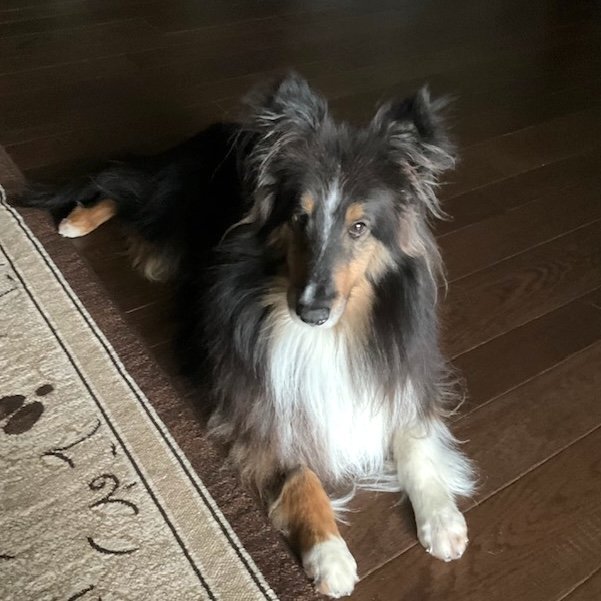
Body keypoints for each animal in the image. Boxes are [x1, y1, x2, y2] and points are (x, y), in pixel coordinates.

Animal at [21, 73, 475, 598]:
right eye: (299, 218)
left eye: (360, 227)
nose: (310, 311)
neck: (331, 334)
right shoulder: (261, 402)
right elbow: (301, 475)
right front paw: (329, 555)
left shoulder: (401, 373)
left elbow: (414, 438)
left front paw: (442, 520)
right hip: (168, 202)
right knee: (121, 188)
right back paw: (75, 221)